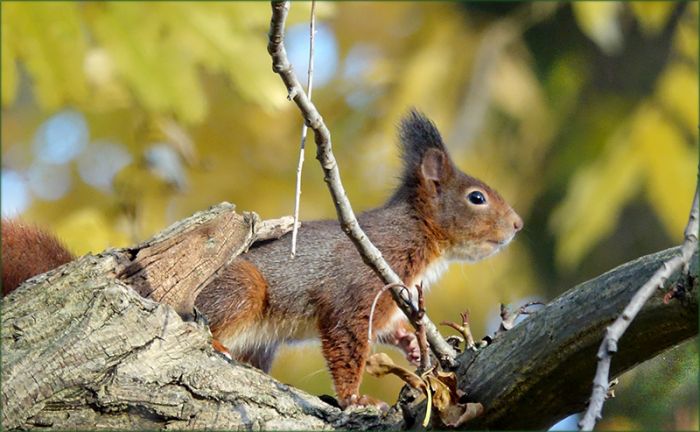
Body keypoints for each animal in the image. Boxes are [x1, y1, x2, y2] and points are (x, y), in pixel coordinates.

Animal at [1, 110, 522, 409]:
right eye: (477, 198)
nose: (517, 225)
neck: (415, 239)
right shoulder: (354, 289)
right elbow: (346, 343)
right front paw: (356, 399)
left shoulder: (389, 302)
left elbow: (388, 331)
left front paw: (412, 347)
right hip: (241, 287)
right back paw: (219, 346)